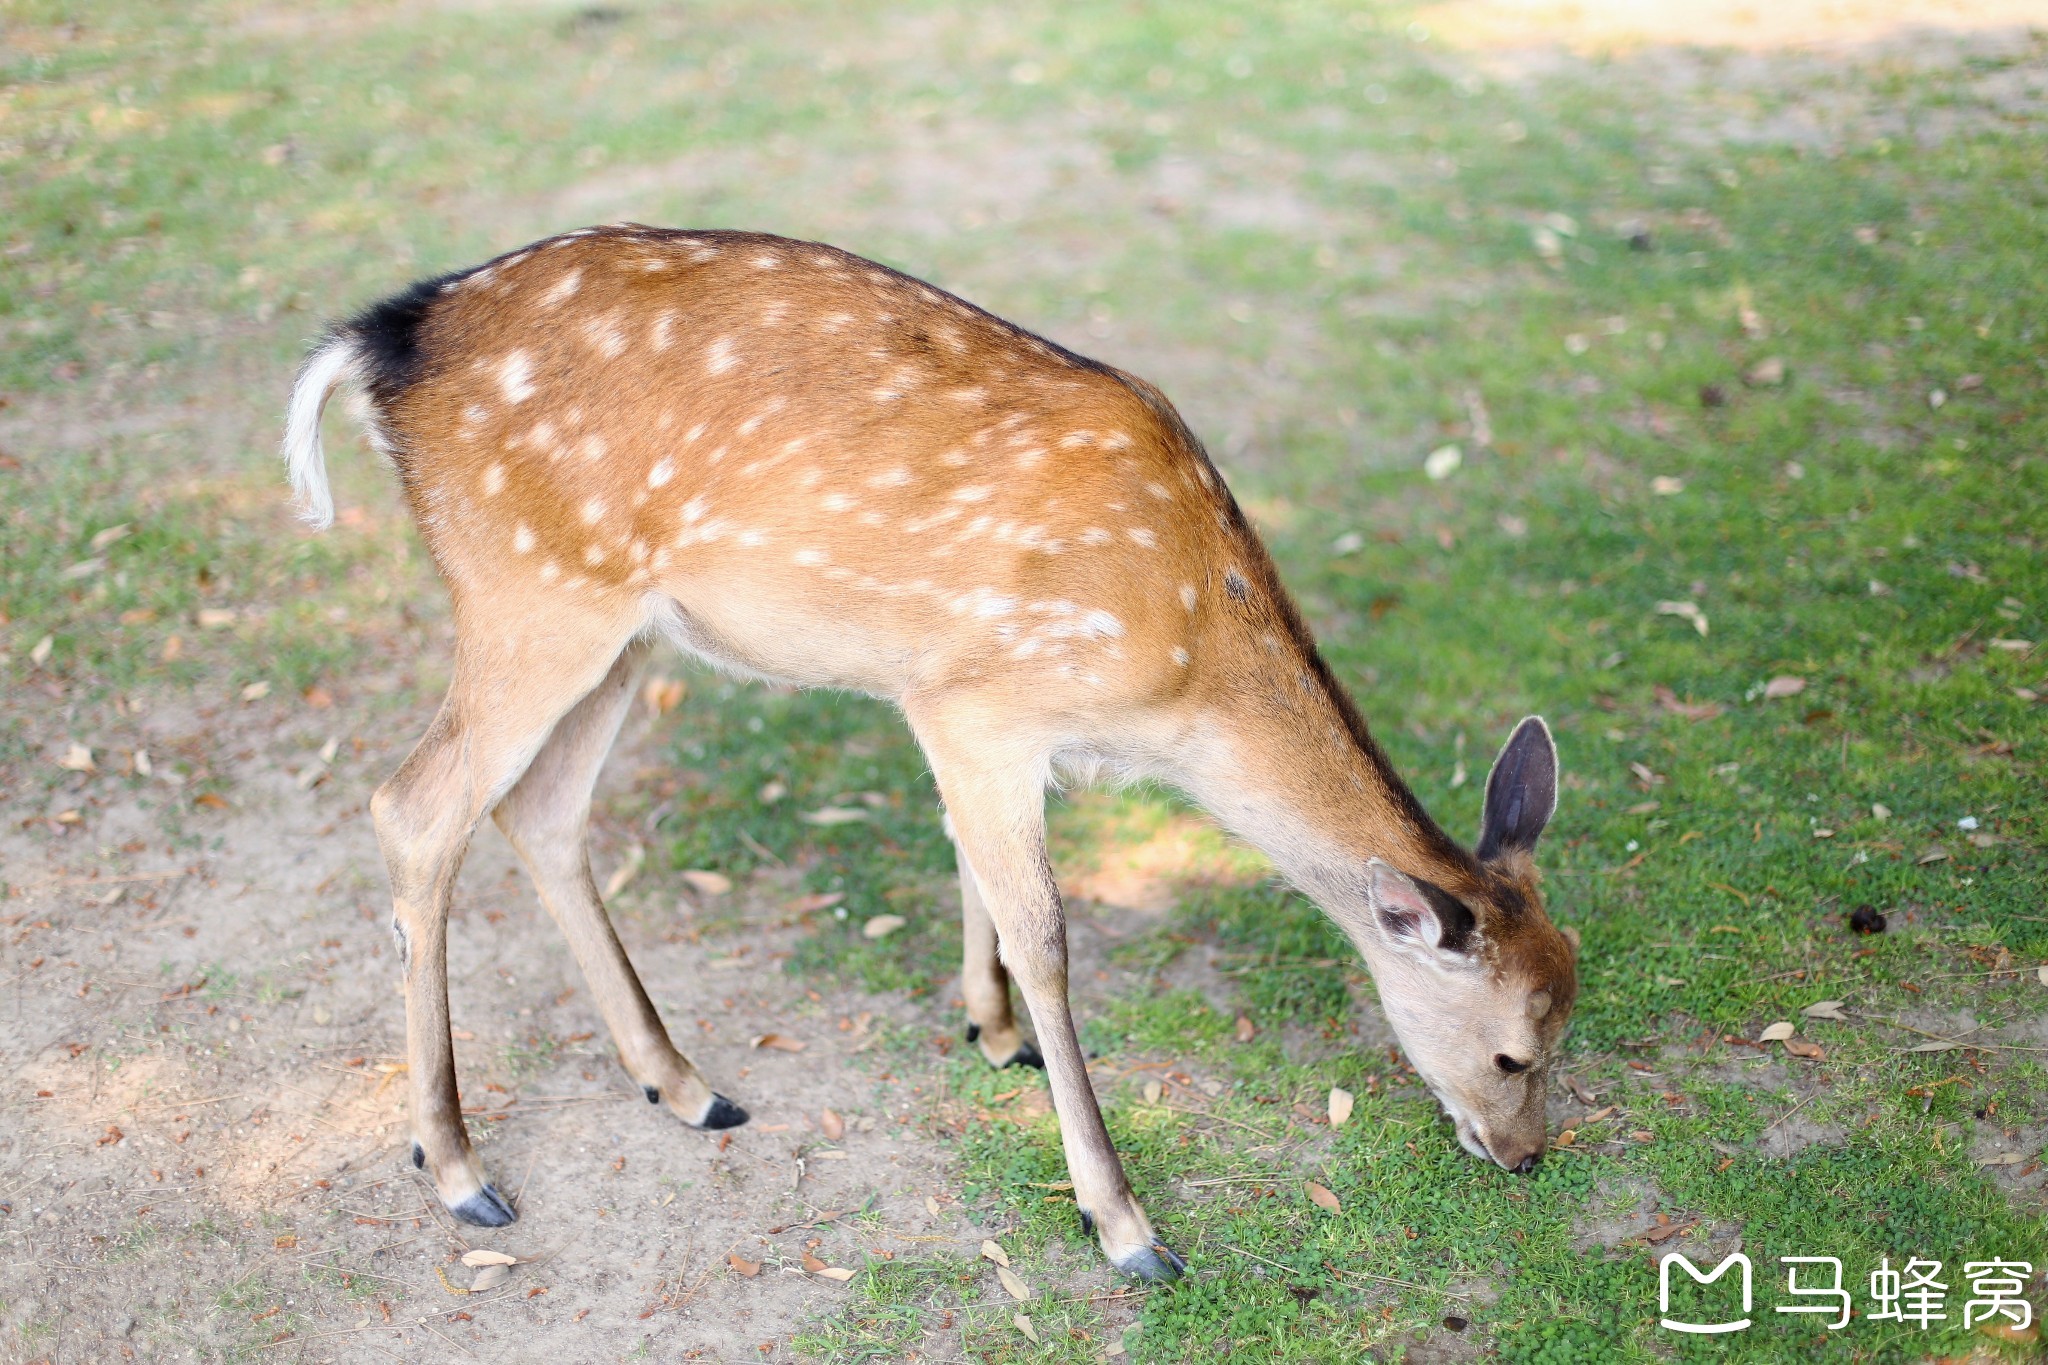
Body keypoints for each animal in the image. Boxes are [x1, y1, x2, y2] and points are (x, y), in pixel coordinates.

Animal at [280, 224, 1572, 1285]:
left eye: (1567, 1019)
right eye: (1513, 1053)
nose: (1525, 1160)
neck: (1180, 674)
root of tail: (374, 343)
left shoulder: (953, 709)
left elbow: (969, 864)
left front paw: (987, 1032)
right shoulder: (979, 702)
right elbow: (1046, 936)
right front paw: (1123, 1225)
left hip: (620, 626)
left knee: (537, 809)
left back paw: (684, 1085)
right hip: (529, 592)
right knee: (414, 808)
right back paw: (458, 1171)